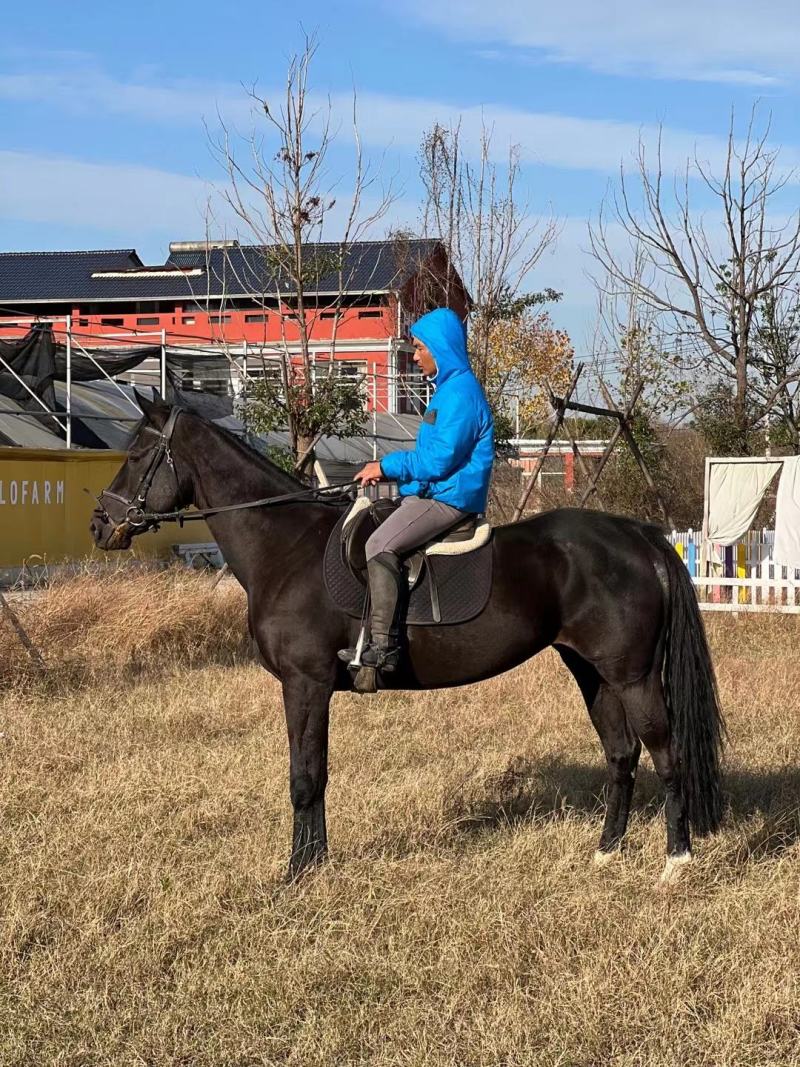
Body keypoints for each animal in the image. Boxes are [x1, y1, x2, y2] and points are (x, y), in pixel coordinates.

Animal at [90, 394, 724, 884]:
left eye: (138, 455)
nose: (100, 525)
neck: (286, 546)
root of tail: (639, 537)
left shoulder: (305, 685)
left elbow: (305, 777)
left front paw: (299, 873)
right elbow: (316, 774)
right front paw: (316, 863)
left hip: (632, 675)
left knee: (665, 752)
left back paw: (676, 862)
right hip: (592, 672)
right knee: (621, 754)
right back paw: (605, 853)